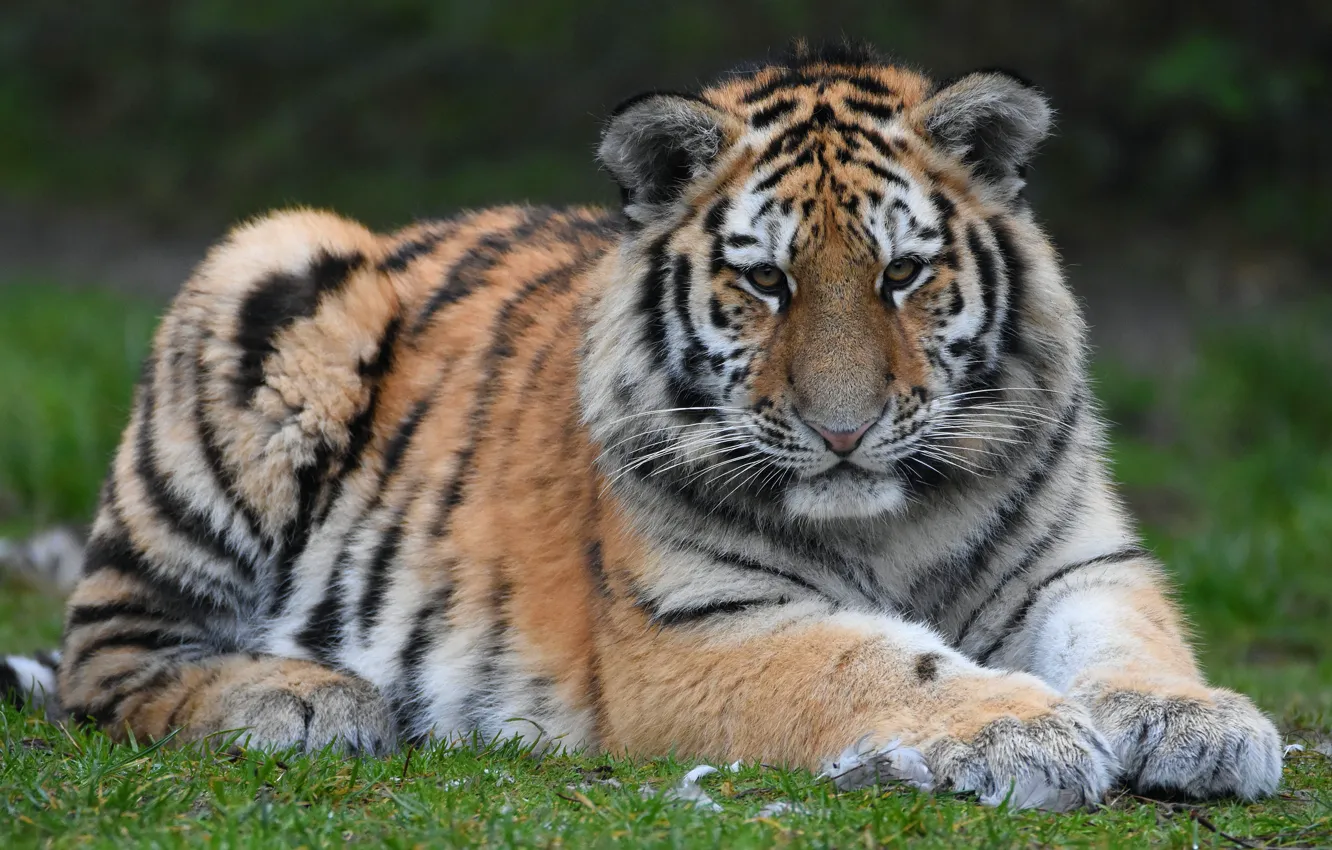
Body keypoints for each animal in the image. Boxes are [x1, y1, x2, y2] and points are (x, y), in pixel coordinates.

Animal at [1, 43, 1281, 809]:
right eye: (765, 282)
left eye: (904, 274)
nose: (845, 433)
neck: (891, 520)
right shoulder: (696, 626)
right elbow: (877, 660)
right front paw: (1025, 729)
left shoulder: (1079, 563)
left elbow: (1131, 642)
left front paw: (1200, 721)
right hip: (273, 262)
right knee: (105, 669)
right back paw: (307, 699)